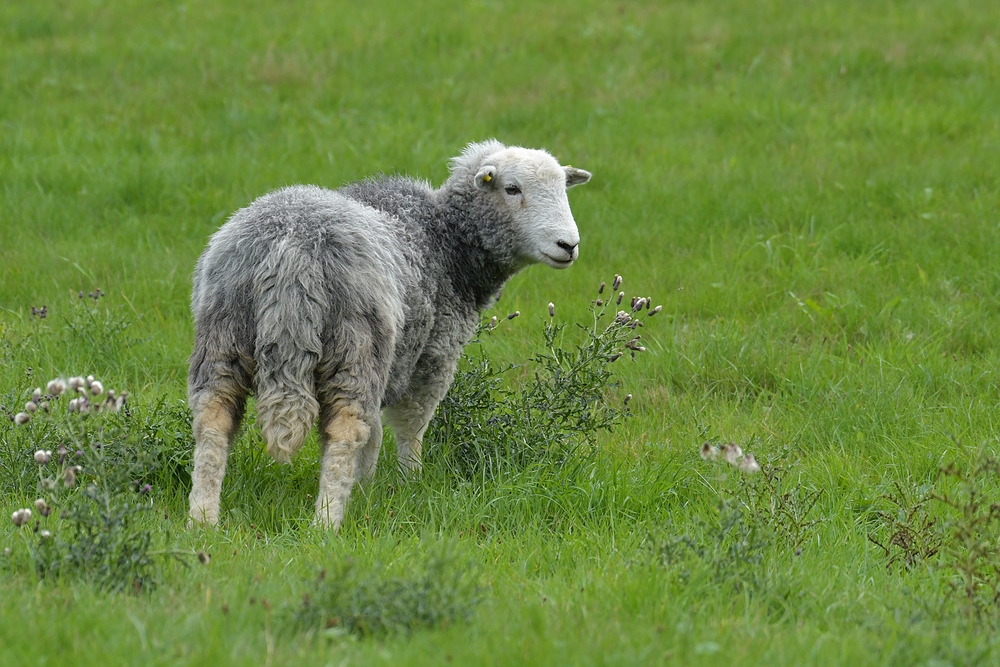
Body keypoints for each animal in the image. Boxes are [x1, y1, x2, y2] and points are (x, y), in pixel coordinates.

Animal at [188, 138, 588, 528]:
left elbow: (375, 433)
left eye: (563, 189)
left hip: (223, 335)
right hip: (355, 344)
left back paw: (203, 519)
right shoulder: (432, 356)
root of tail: (292, 249)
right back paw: (326, 521)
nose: (568, 245)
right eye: (512, 188)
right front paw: (411, 480)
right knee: (346, 429)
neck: (446, 241)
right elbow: (410, 427)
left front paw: (364, 486)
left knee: (213, 419)